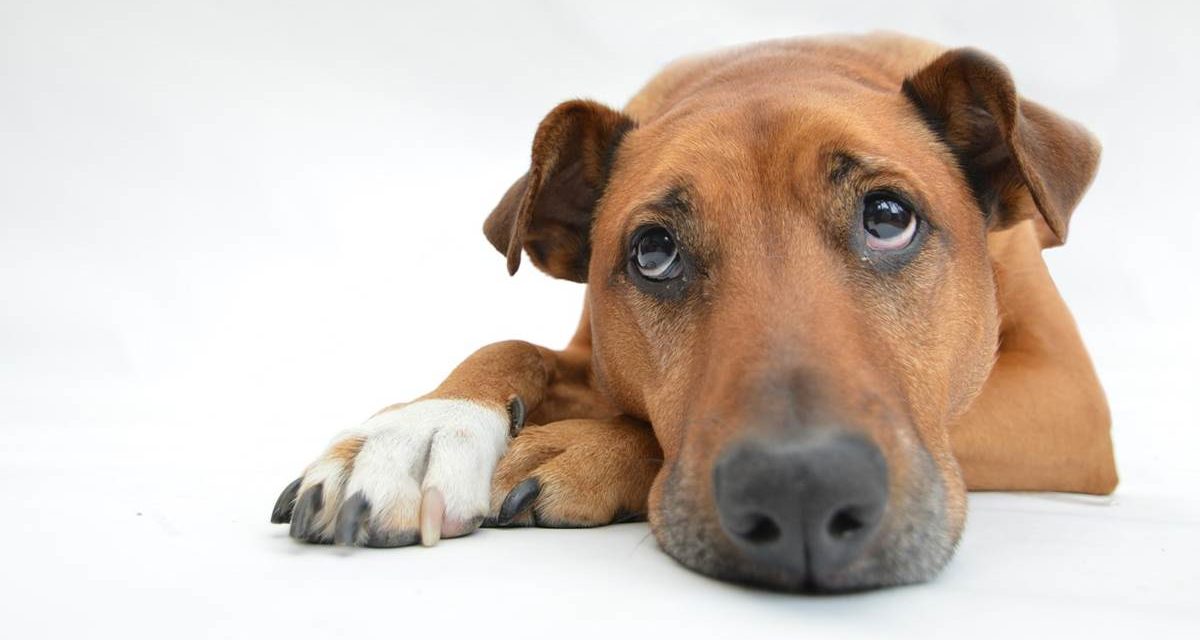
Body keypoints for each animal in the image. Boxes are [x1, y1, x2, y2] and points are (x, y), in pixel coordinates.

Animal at [270, 31, 1113, 588]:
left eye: (887, 217)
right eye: (653, 253)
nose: (802, 491)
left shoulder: (1067, 397)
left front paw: (585, 447)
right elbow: (512, 345)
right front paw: (422, 429)